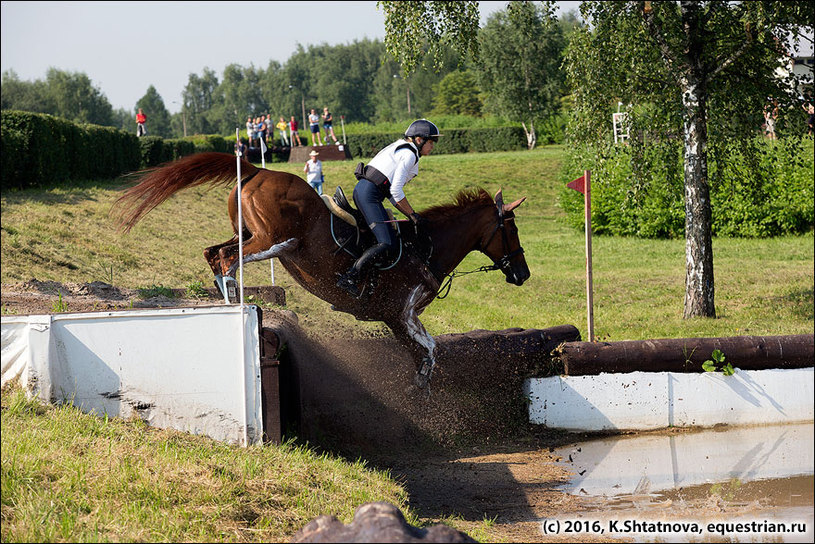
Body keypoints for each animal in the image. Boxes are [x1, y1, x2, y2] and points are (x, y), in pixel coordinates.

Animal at [118, 151, 532, 384]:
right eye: (511, 229)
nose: (523, 274)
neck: (426, 247)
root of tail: (256, 169)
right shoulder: (403, 312)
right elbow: (430, 348)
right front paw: (423, 380)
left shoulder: (395, 318)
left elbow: (421, 350)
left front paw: (421, 382)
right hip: (274, 240)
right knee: (227, 259)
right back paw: (235, 302)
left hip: (247, 232)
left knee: (213, 252)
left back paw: (228, 297)